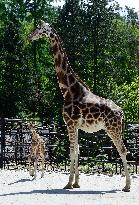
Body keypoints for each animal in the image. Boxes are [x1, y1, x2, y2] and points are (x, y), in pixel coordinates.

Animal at [28, 20, 131, 191]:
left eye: (39, 28)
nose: (29, 37)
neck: (69, 91)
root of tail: (122, 113)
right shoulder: (76, 126)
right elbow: (77, 151)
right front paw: (76, 182)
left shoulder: (70, 123)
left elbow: (71, 152)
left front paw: (68, 183)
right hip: (115, 129)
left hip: (112, 129)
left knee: (123, 150)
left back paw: (127, 186)